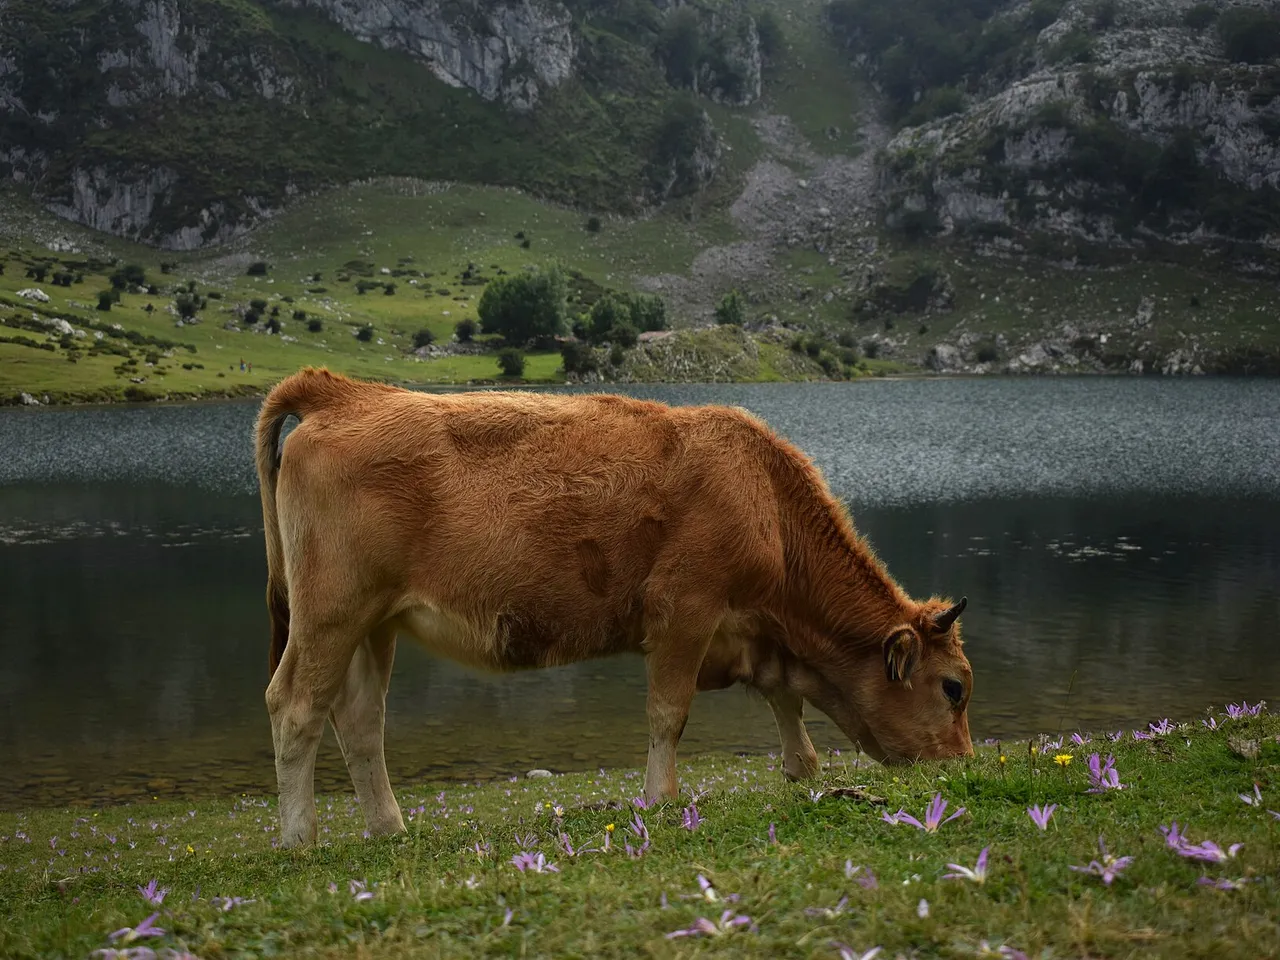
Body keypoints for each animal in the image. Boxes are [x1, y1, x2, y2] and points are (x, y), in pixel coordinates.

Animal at [255, 367, 974, 848]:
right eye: (954, 687)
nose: (963, 764)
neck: (764, 498)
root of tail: (345, 390)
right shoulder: (686, 607)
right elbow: (668, 713)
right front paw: (660, 798)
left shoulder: (750, 629)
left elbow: (782, 695)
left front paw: (802, 767)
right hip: (331, 613)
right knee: (294, 705)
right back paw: (299, 839)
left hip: (374, 624)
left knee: (358, 720)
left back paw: (389, 828)